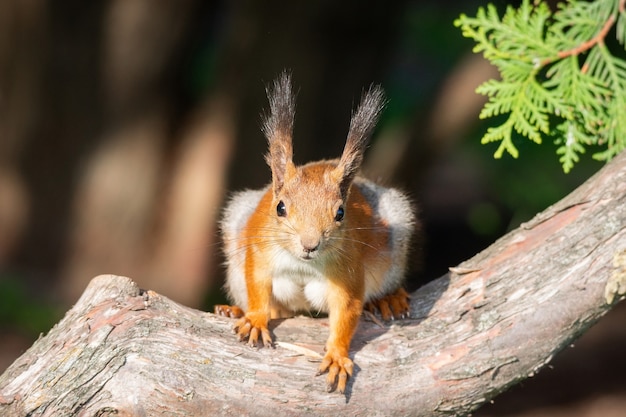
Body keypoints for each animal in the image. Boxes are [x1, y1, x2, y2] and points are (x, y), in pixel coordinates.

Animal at [214, 72, 414, 394]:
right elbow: (257, 284)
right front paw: (255, 319)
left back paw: (388, 299)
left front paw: (337, 356)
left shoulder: (348, 272)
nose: (310, 245)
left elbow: (347, 311)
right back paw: (234, 310)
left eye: (341, 213)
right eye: (280, 207)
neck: (303, 264)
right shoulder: (260, 250)